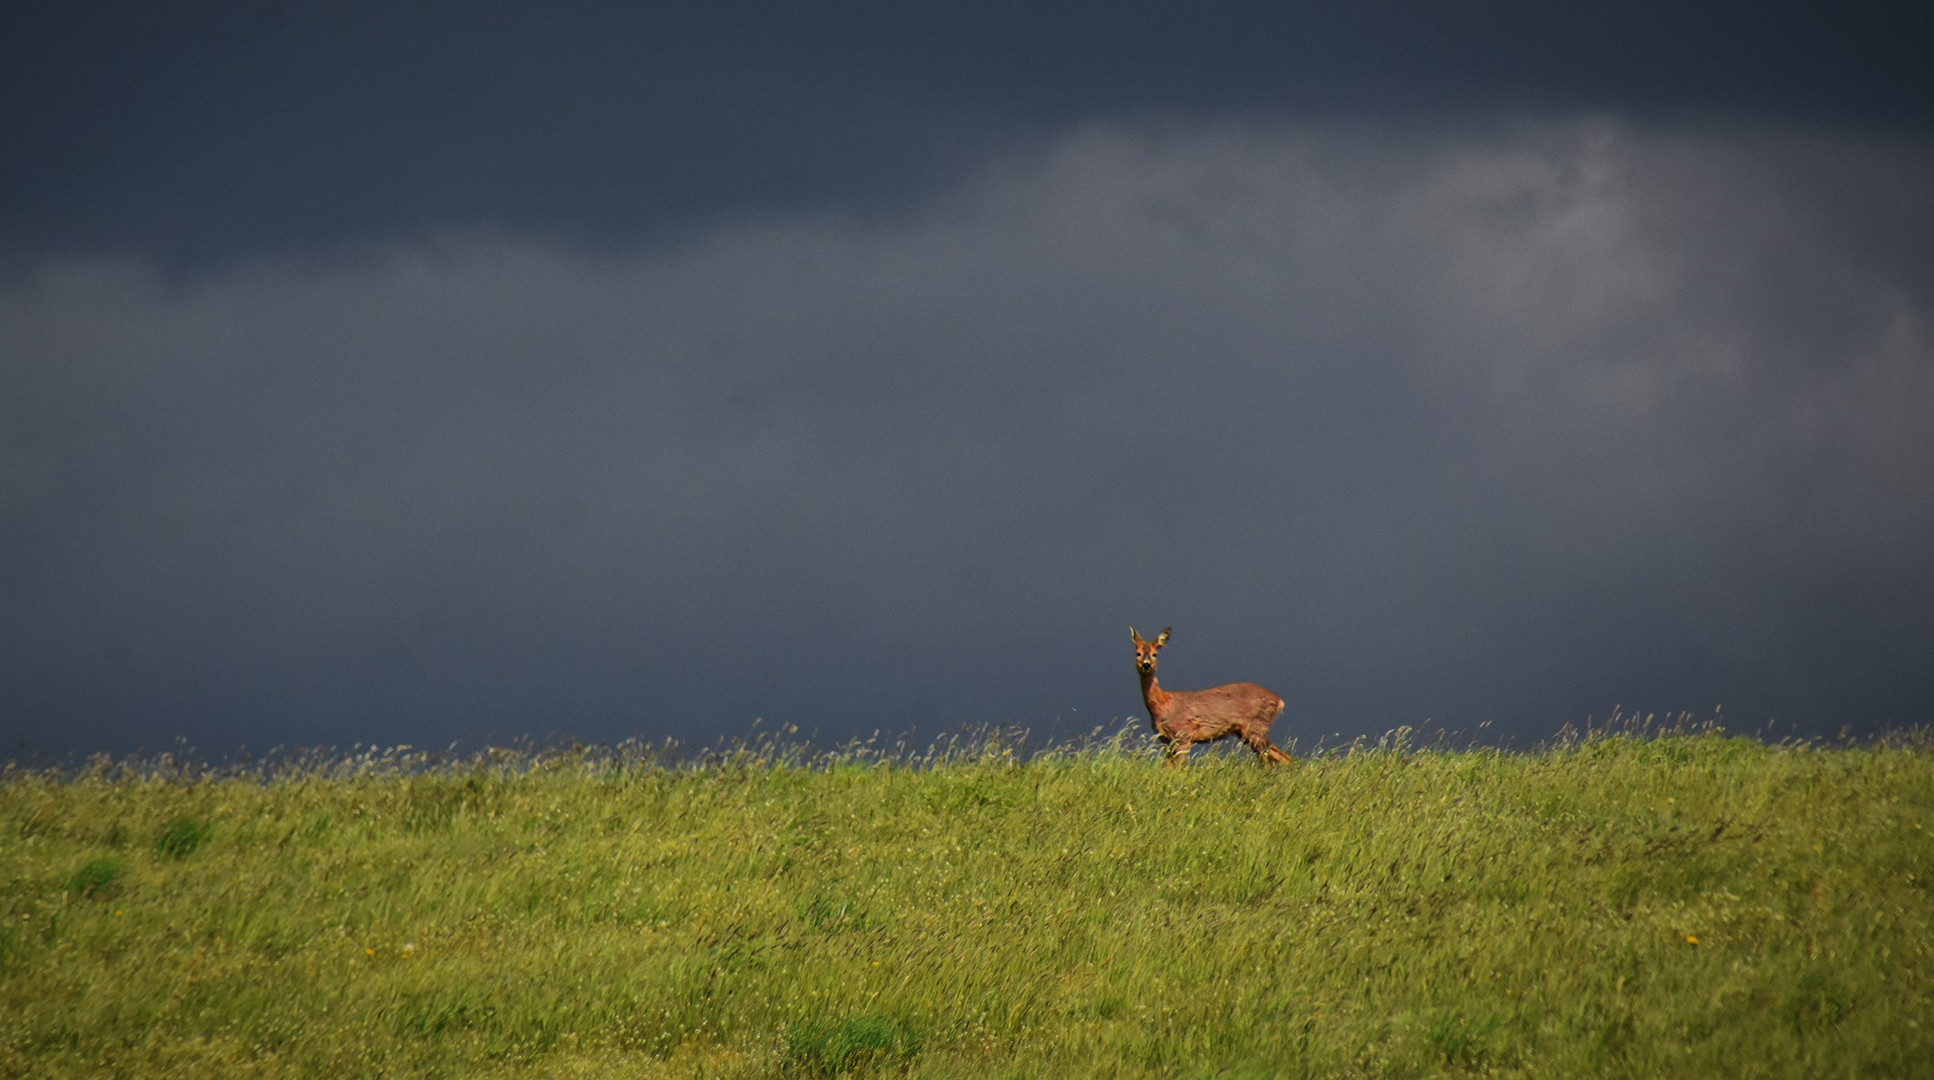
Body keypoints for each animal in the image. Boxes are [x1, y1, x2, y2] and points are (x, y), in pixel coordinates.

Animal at [1129, 627, 1291, 770]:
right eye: (1138, 653)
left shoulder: (1184, 736)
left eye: (1155, 654)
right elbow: (1169, 769)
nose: (1146, 665)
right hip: (1249, 733)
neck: (1162, 705)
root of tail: (1279, 701)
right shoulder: (1165, 740)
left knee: (1269, 763)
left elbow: (1181, 770)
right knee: (1285, 758)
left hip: (1255, 727)